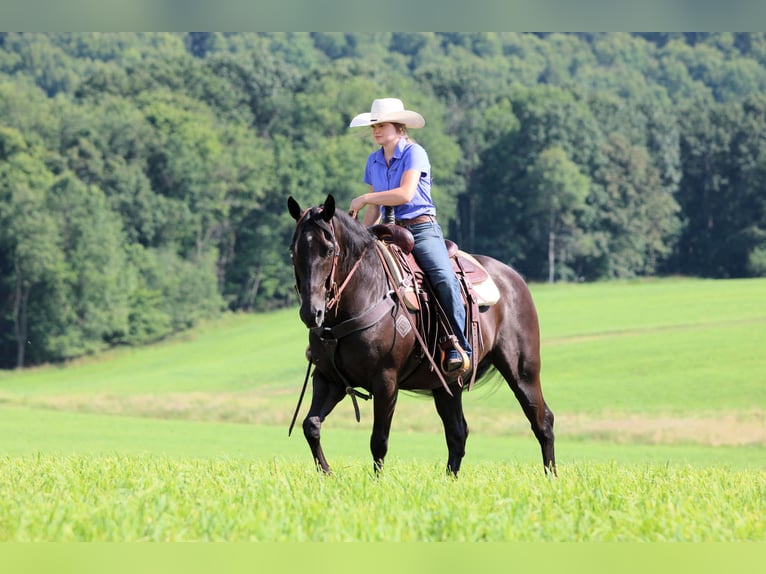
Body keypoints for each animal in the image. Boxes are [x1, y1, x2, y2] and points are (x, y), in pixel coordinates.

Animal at [287, 194, 556, 477]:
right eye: (294, 251)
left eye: (328, 250)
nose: (311, 312)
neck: (367, 293)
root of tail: (514, 277)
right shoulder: (329, 378)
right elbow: (311, 425)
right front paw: (327, 473)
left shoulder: (386, 381)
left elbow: (378, 440)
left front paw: (376, 482)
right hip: (447, 384)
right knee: (458, 433)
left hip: (522, 371)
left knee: (542, 421)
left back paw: (551, 476)